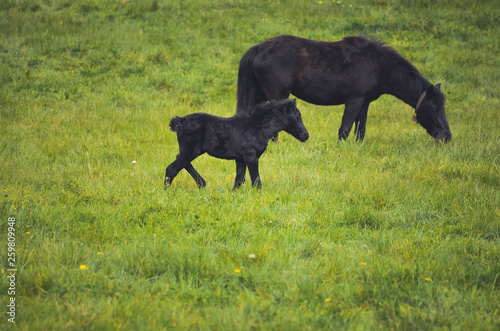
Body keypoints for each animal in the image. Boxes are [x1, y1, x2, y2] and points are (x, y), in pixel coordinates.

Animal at [164, 99, 308, 189]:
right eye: (297, 117)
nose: (306, 135)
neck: (256, 127)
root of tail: (180, 120)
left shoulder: (240, 159)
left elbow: (239, 180)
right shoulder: (251, 158)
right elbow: (256, 181)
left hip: (189, 151)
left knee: (180, 162)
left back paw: (202, 184)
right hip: (190, 151)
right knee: (172, 168)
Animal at [236, 35, 452, 143]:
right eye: (432, 108)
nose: (447, 137)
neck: (378, 65)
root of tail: (258, 49)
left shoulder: (364, 103)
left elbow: (360, 130)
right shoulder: (354, 100)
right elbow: (345, 129)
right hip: (276, 95)